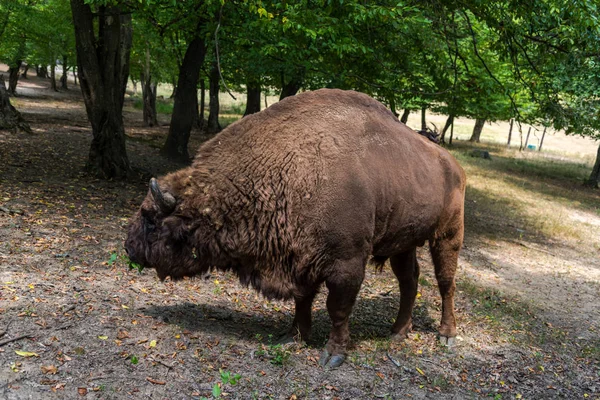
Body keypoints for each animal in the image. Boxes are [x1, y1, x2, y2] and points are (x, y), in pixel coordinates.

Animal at [124, 88, 466, 368]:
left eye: (150, 218)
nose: (129, 247)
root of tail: (450, 162)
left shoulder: (346, 264)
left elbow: (337, 308)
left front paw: (333, 355)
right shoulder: (300, 259)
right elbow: (303, 301)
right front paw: (293, 337)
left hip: (448, 234)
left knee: (446, 282)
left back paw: (447, 336)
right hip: (403, 241)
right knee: (409, 280)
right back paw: (398, 332)